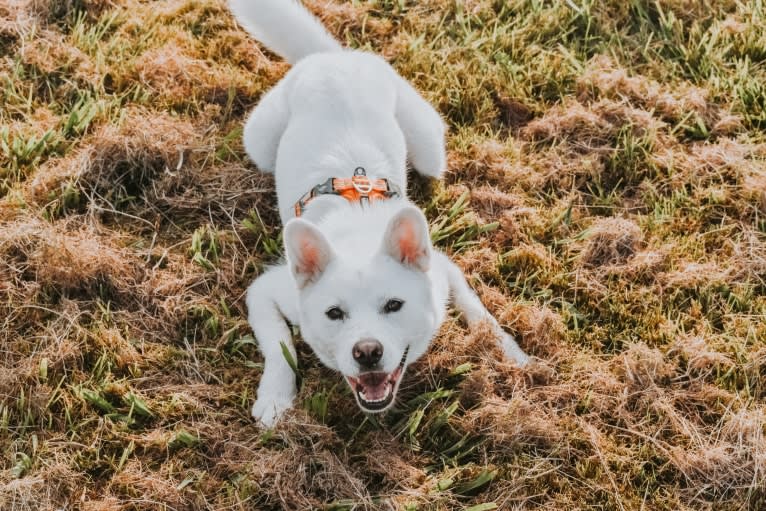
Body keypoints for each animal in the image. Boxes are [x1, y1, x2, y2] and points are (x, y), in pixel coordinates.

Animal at [230, 0, 528, 428]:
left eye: (394, 306)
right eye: (334, 313)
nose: (367, 351)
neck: (359, 233)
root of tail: (331, 58)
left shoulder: (441, 268)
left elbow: (477, 307)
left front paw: (507, 349)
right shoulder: (265, 292)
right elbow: (279, 344)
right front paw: (275, 397)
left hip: (430, 151)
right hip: (257, 141)